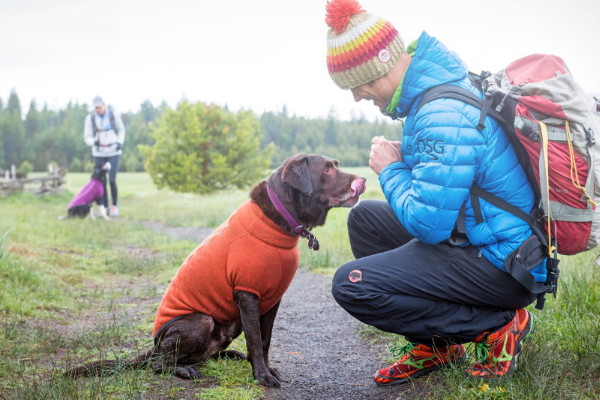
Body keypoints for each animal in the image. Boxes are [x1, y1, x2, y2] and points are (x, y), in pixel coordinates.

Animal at [65, 154, 366, 388]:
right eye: (327, 169)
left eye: (336, 165)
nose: (362, 180)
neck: (279, 220)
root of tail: (153, 345)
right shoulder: (247, 295)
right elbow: (255, 339)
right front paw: (262, 376)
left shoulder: (272, 300)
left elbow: (265, 340)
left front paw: (266, 369)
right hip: (201, 321)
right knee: (159, 363)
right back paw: (184, 370)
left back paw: (229, 356)